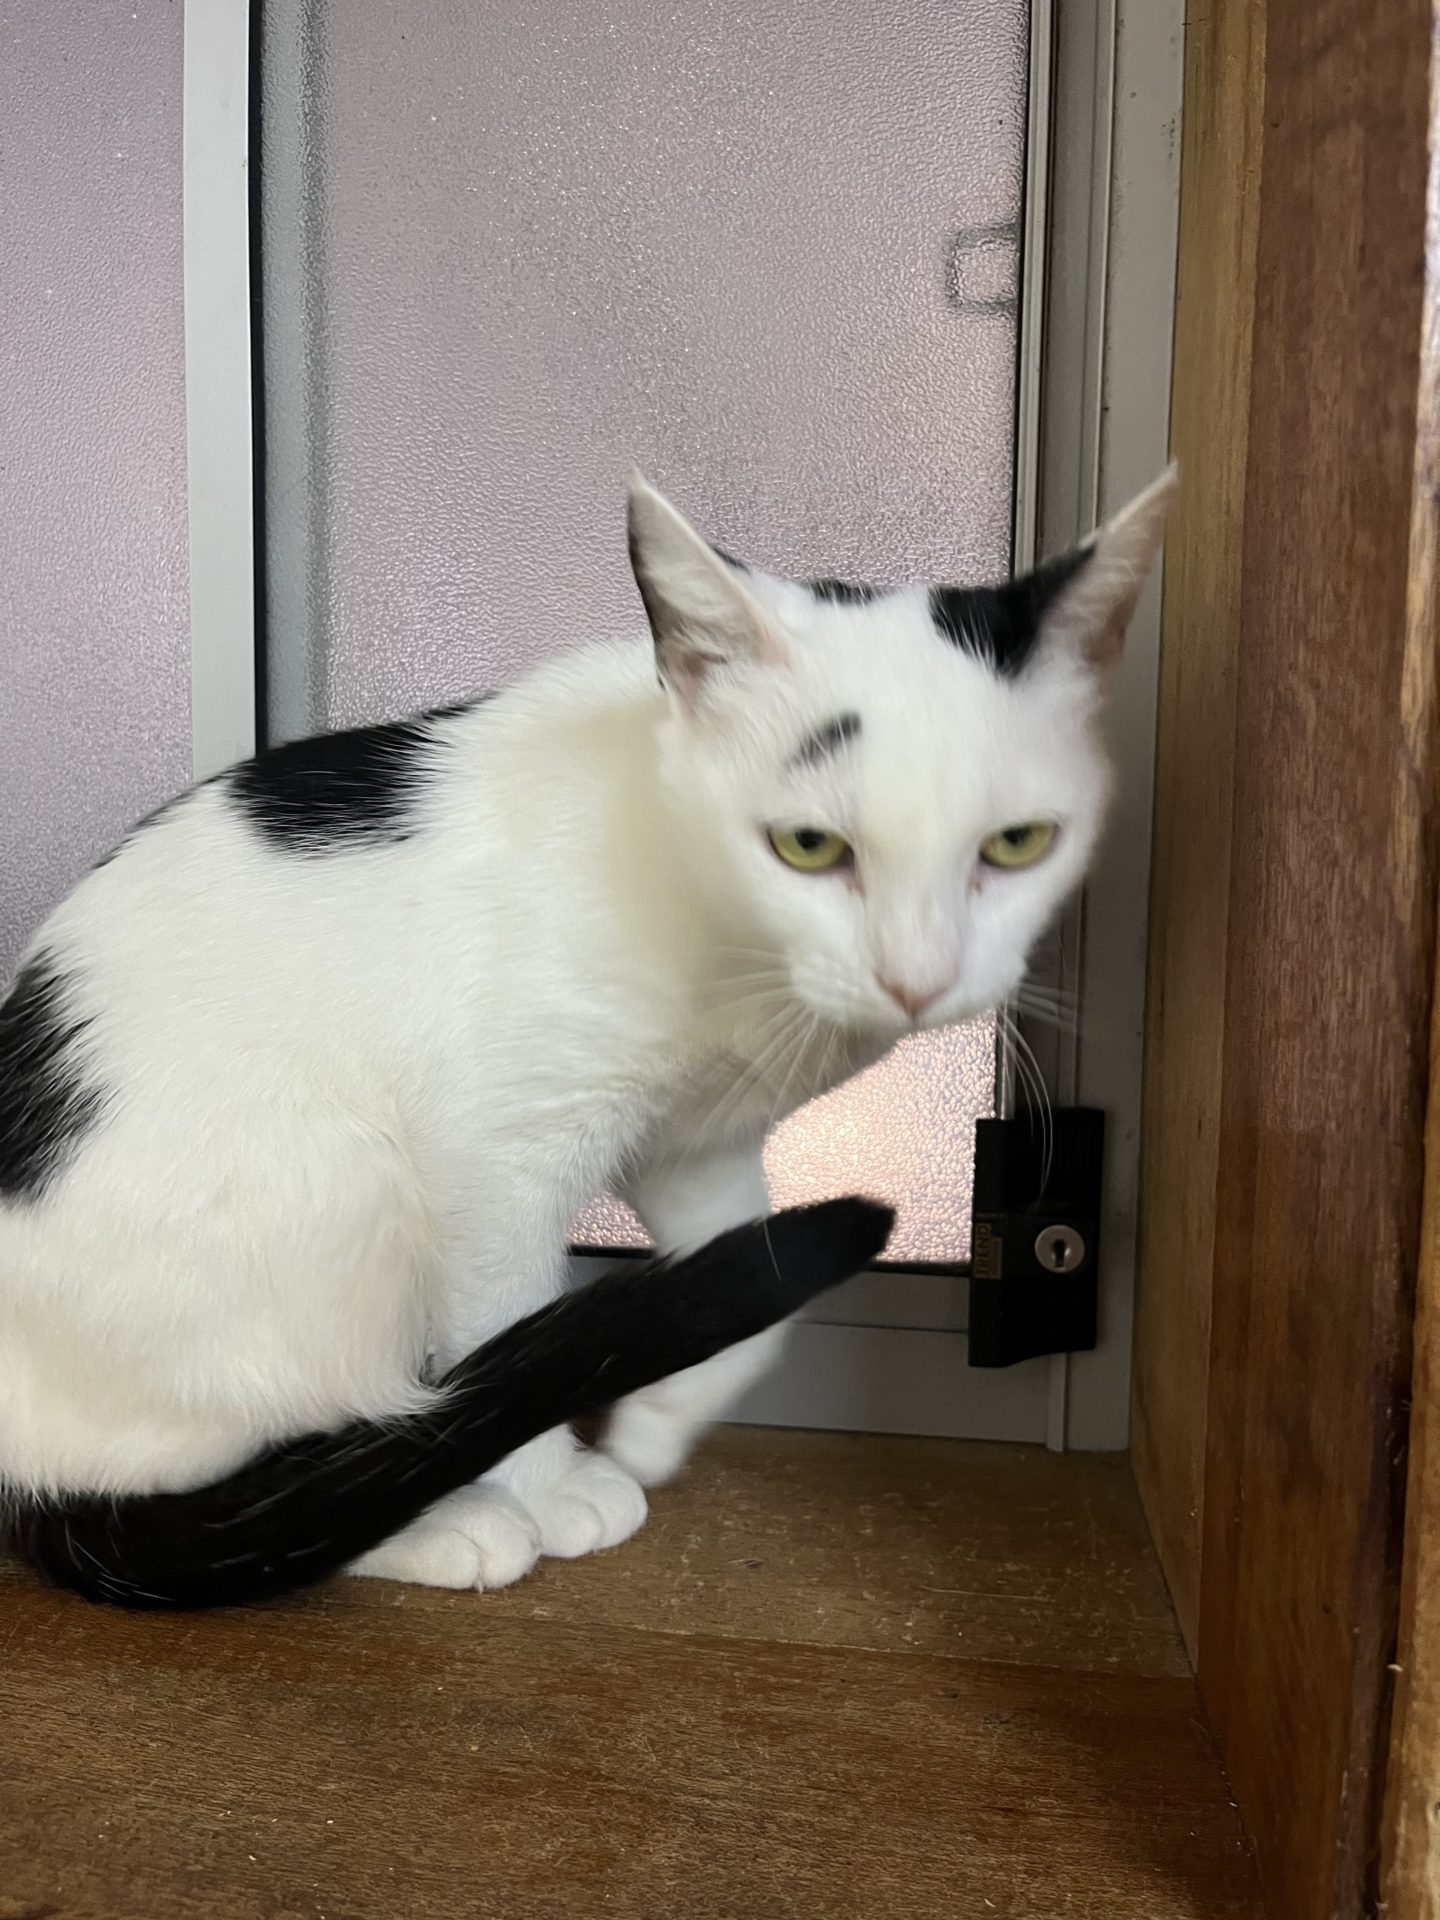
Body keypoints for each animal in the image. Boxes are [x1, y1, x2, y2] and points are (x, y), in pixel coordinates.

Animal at [0, 467, 1173, 1609]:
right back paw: (442, 1521)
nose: (917, 979)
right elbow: (501, 1320)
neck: (730, 951)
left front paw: (658, 1419)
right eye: (808, 845)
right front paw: (550, 1483)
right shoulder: (492, 1160)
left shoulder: (698, 1147)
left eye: (1018, 844)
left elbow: (753, 1288)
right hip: (340, 1198)